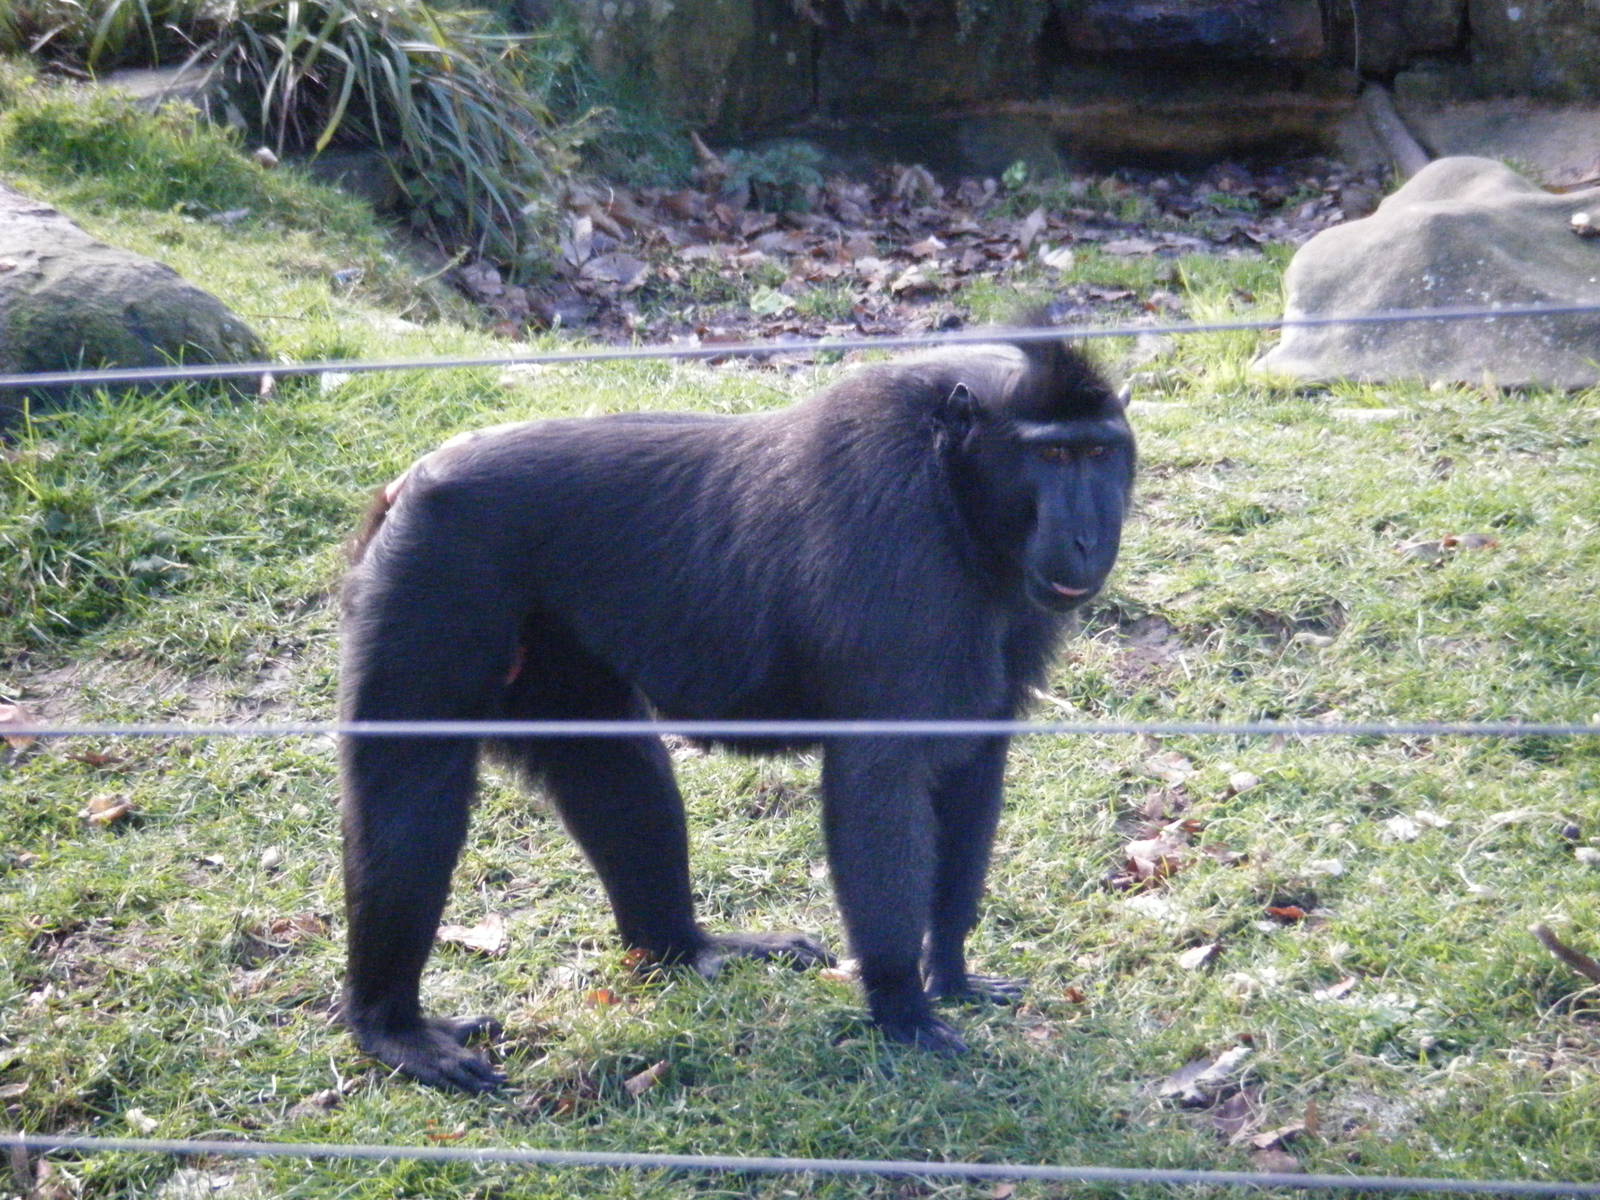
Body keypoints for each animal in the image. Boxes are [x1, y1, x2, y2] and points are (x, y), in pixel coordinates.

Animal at [338, 329, 1135, 1091]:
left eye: (1099, 452)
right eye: (1053, 454)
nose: (1087, 538)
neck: (950, 474)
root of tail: (416, 479)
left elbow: (973, 768)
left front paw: (954, 973)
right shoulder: (900, 544)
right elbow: (880, 785)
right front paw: (901, 1006)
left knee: (609, 764)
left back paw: (682, 948)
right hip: (432, 572)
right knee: (411, 792)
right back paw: (389, 1024)